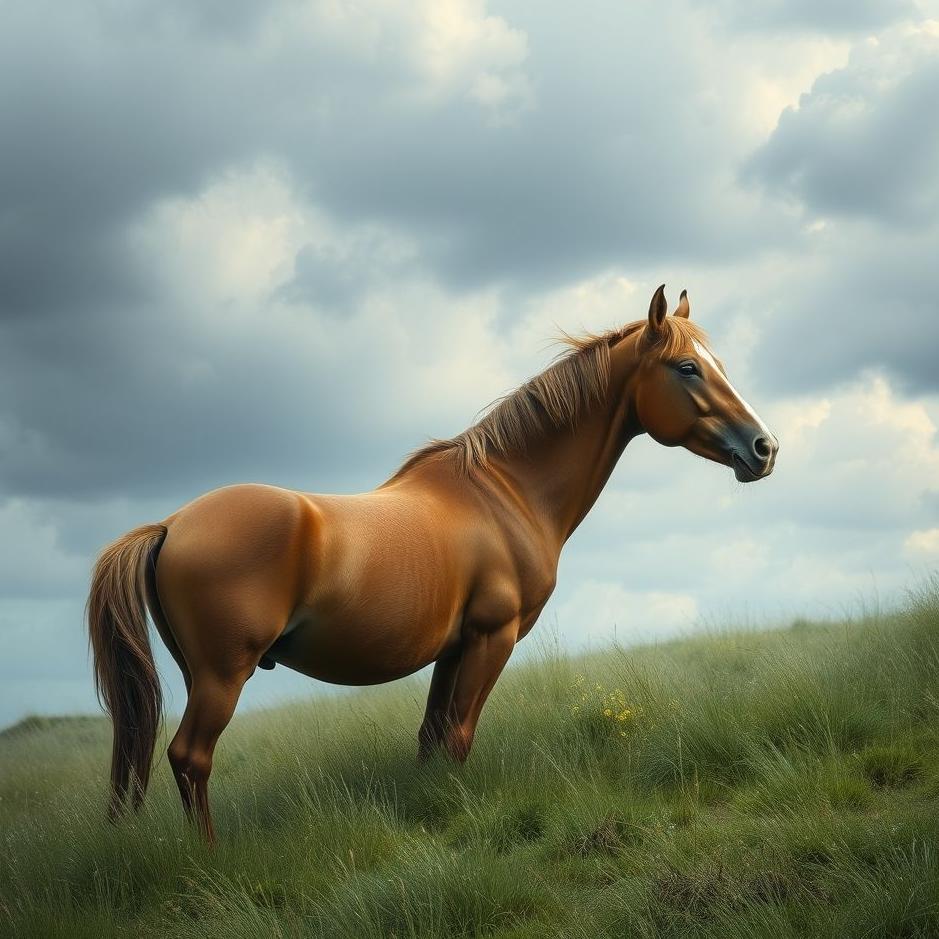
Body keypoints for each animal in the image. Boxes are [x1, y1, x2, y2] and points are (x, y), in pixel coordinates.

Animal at [88, 285, 778, 841]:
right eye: (687, 368)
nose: (763, 448)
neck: (506, 491)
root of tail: (171, 524)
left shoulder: (453, 648)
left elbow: (432, 740)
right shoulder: (493, 637)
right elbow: (459, 739)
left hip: (199, 673)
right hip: (222, 677)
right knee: (190, 757)